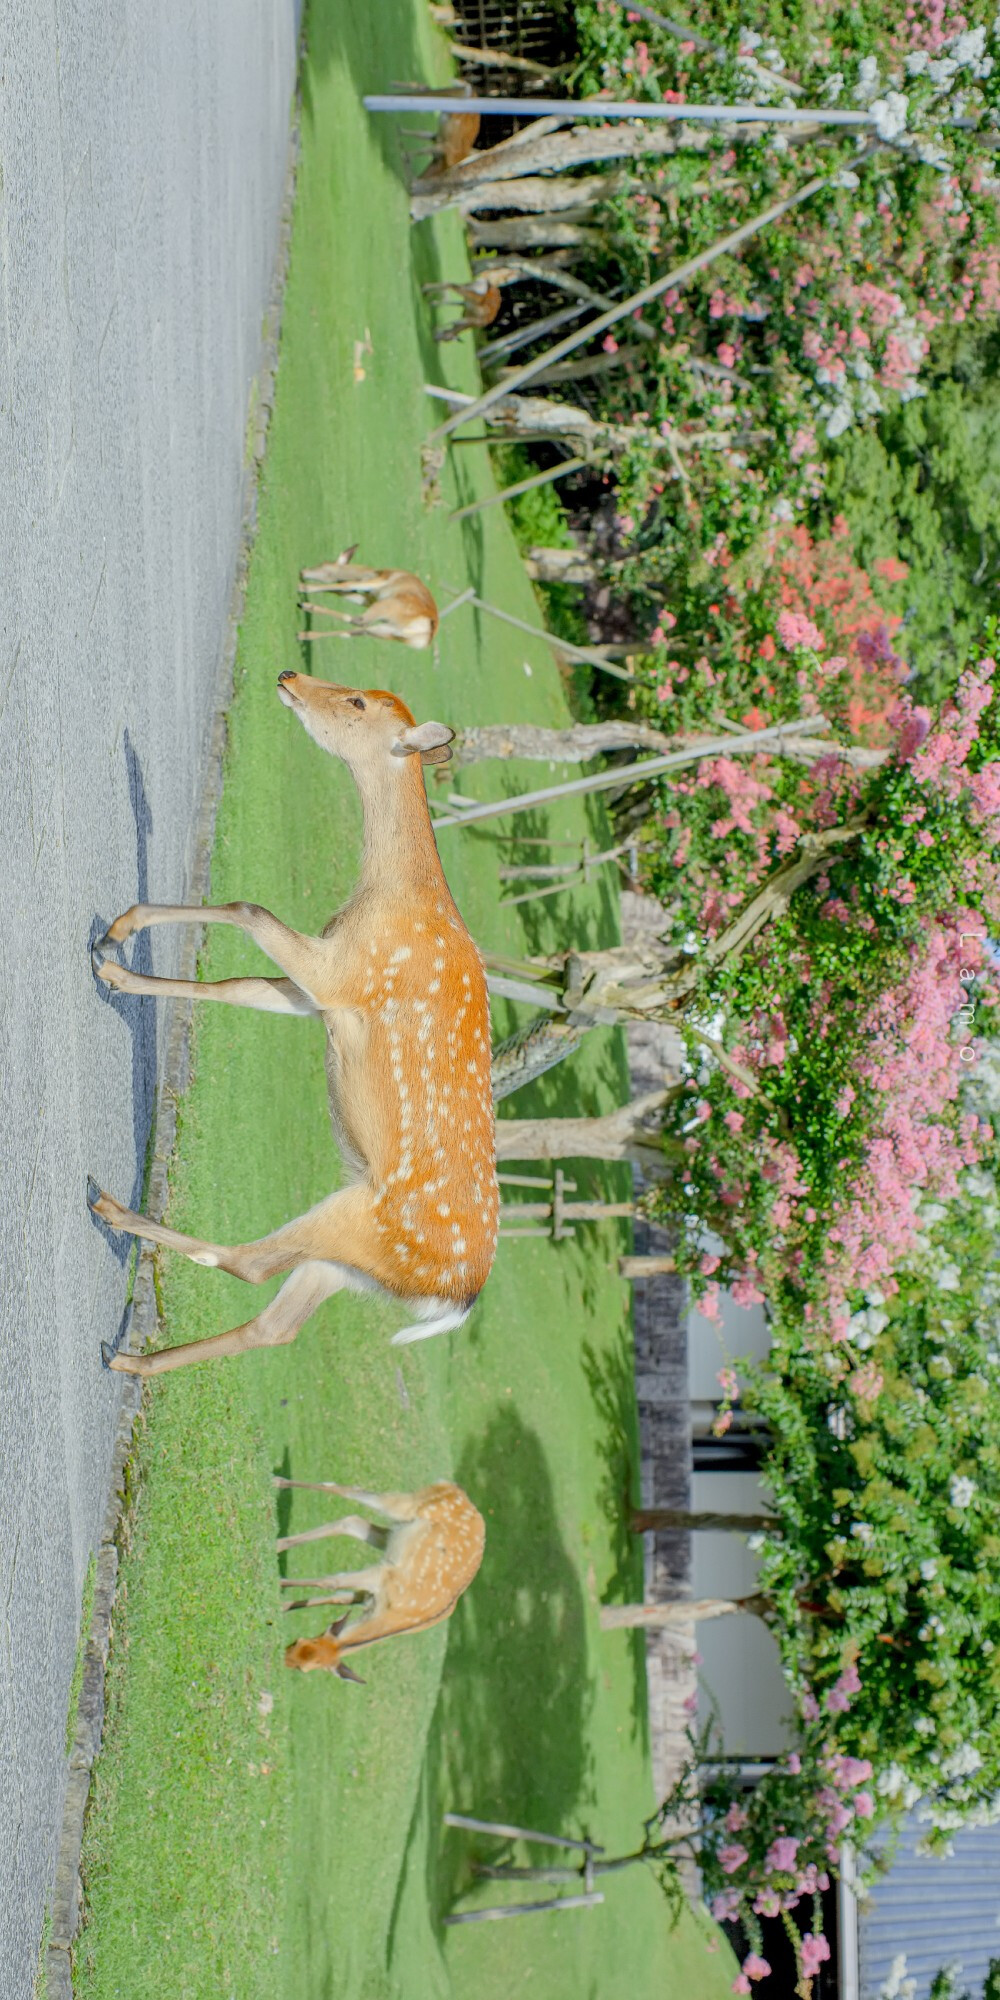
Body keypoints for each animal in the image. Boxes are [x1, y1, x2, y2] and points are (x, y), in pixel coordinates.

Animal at [90, 672, 500, 1376]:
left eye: (358, 703)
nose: (289, 677)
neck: (387, 897)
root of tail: (457, 1300)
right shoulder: (320, 996)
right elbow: (236, 988)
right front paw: (116, 970)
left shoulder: (341, 977)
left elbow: (247, 907)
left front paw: (121, 930)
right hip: (352, 1266)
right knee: (275, 1325)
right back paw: (131, 1362)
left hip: (356, 1219)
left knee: (246, 1264)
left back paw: (113, 1211)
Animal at [280, 1480, 486, 1680]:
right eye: (299, 1643)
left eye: (303, 1668)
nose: (284, 1657)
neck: (389, 1612)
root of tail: (458, 1491)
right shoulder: (382, 1576)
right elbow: (330, 1582)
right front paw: (281, 1584)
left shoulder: (370, 1592)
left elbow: (336, 1597)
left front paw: (285, 1605)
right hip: (407, 1505)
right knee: (348, 1490)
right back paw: (277, 1484)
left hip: (391, 1535)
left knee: (351, 1521)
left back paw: (280, 1543)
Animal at [296, 552, 438, 652]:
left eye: (324, 564)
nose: (302, 572)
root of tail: (426, 633)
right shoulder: (368, 599)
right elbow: (342, 592)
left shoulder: (376, 584)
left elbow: (345, 586)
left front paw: (303, 588)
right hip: (386, 631)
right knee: (356, 631)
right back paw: (304, 633)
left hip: (385, 607)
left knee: (359, 620)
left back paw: (304, 609)